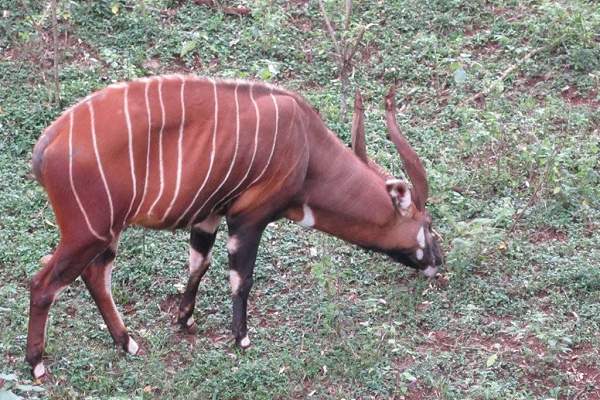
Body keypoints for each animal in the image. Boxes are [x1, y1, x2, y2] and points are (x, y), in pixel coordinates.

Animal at [27, 75, 440, 378]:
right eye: (428, 224)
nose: (438, 261)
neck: (308, 150)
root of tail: (46, 144)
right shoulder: (248, 218)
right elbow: (241, 278)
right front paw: (241, 339)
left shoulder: (208, 214)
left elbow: (199, 264)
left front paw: (185, 320)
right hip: (89, 231)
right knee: (43, 283)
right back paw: (36, 365)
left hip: (106, 233)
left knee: (95, 276)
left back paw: (127, 342)